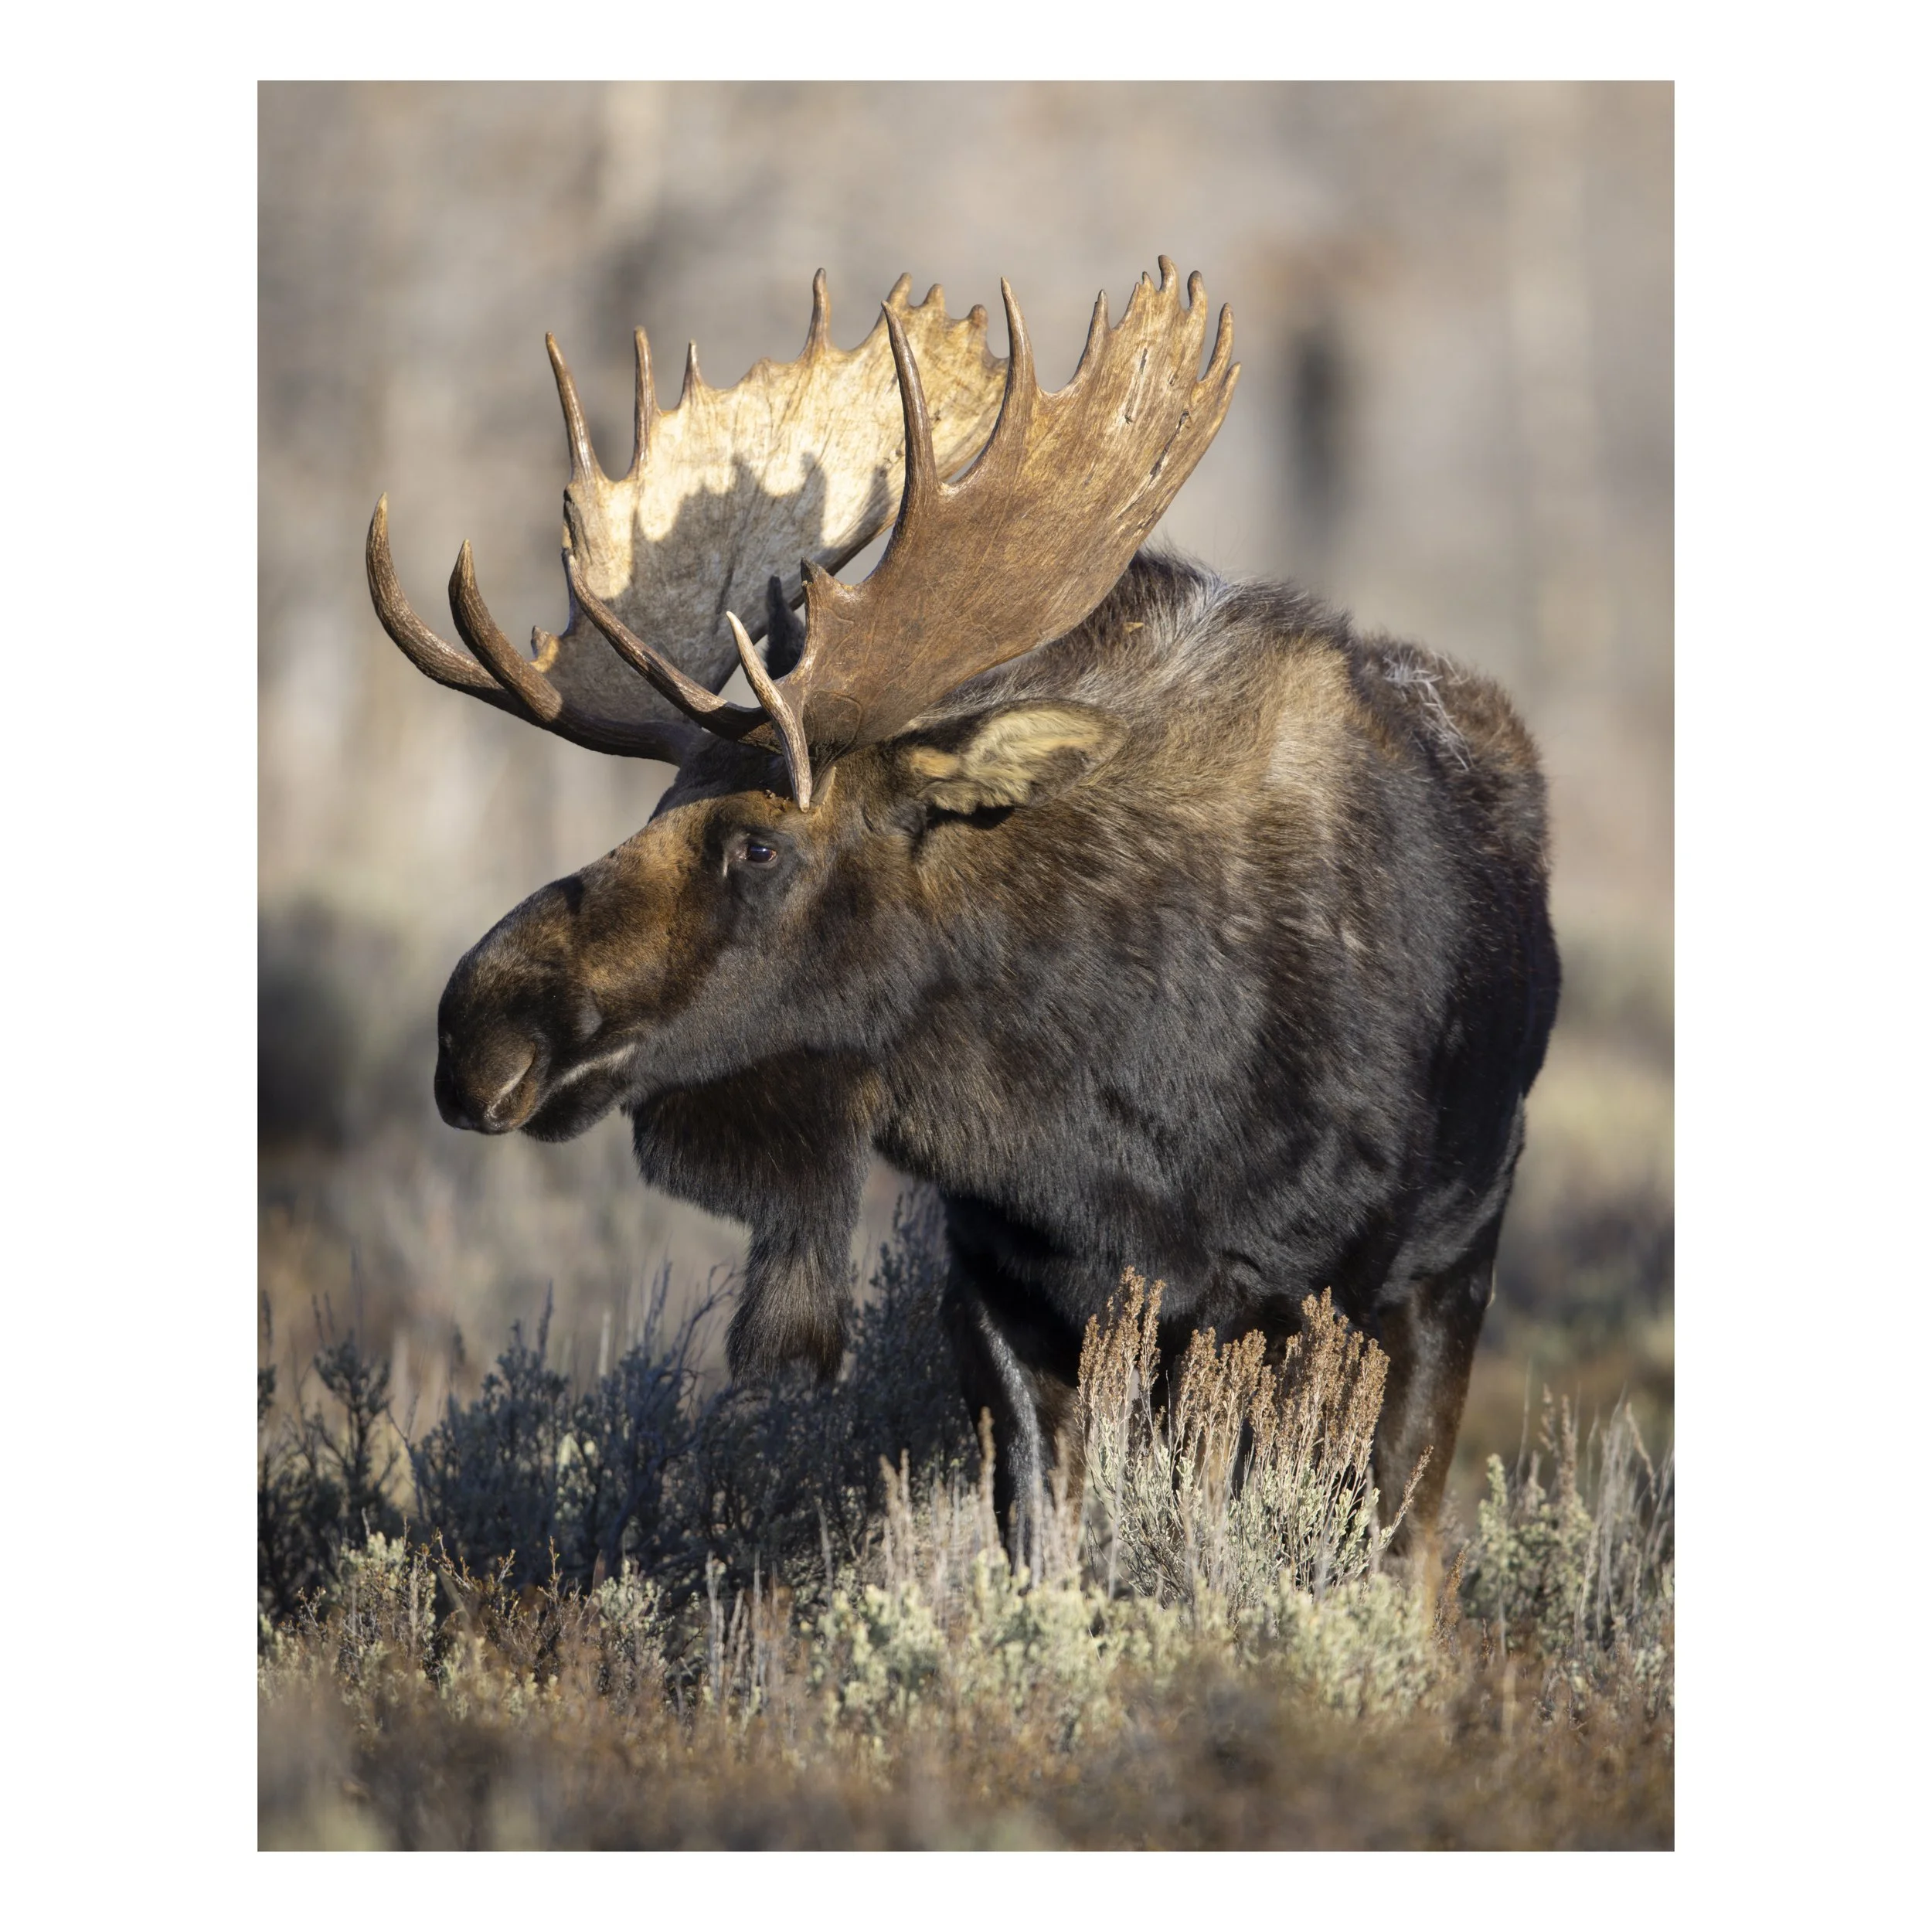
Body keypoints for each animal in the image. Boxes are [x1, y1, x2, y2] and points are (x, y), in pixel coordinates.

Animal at [366, 260, 1560, 1560]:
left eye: (758, 844)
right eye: (655, 806)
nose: (477, 1031)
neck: (1116, 1122)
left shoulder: (1337, 1292)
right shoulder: (1002, 1283)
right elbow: (1043, 1540)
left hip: (1451, 1267)